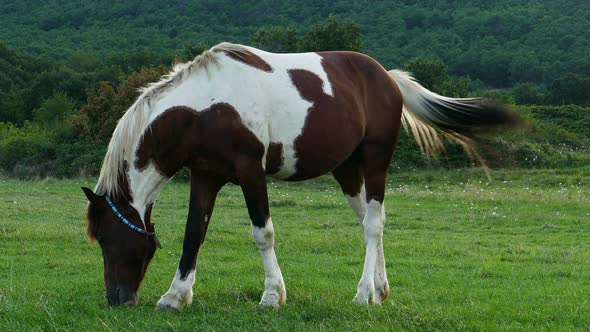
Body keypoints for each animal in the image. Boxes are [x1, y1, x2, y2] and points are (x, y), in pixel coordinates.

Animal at [81, 41, 520, 308]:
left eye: (106, 236)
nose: (116, 298)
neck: (204, 109)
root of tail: (386, 76)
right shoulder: (205, 176)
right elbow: (194, 234)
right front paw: (175, 296)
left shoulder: (250, 172)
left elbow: (263, 233)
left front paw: (273, 295)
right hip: (347, 170)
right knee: (369, 224)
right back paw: (380, 289)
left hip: (376, 162)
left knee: (374, 225)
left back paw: (364, 294)